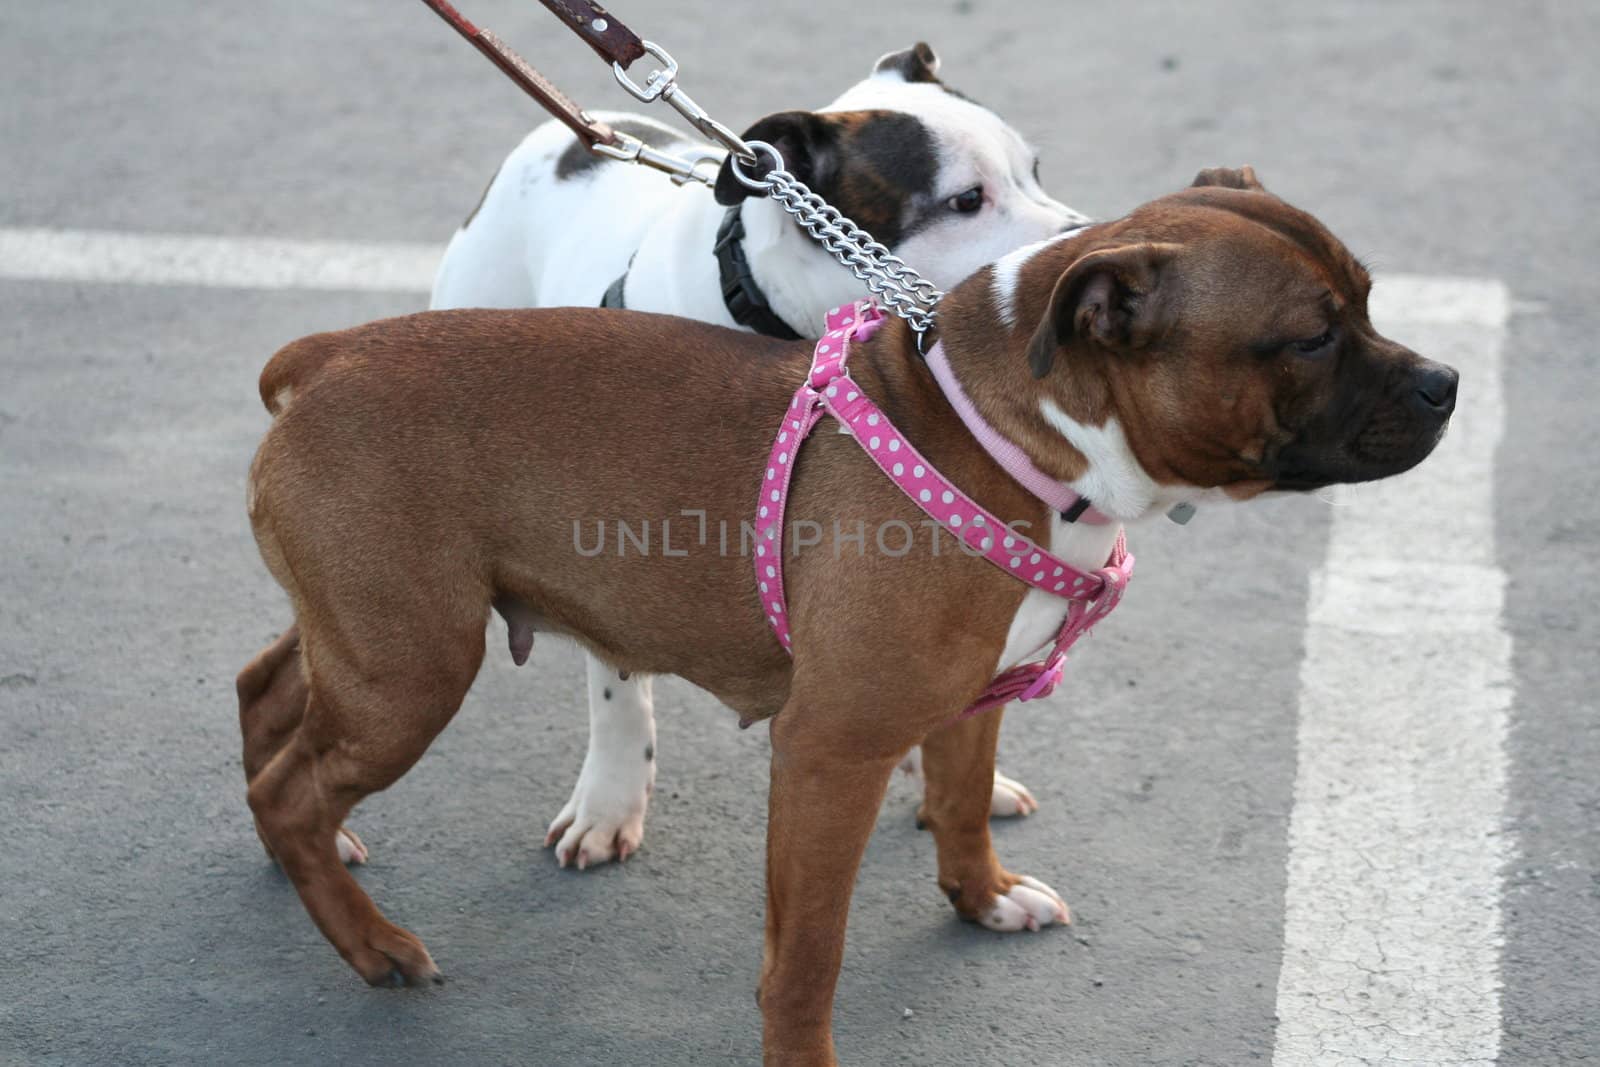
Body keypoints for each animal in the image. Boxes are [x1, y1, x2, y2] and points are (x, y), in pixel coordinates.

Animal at [240, 171, 1465, 1062]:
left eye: (1364, 299)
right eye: (1309, 337)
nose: (1447, 382)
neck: (1010, 431)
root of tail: (327, 357)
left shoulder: (972, 697)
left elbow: (962, 802)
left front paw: (984, 899)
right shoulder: (832, 752)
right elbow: (808, 954)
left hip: (363, 636)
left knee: (267, 702)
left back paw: (311, 863)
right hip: (410, 668)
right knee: (294, 782)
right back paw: (374, 945)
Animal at [432, 43, 1094, 870]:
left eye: (1034, 170)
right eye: (967, 200)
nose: (1090, 237)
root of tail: (575, 135)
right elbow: (619, 686)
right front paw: (610, 803)